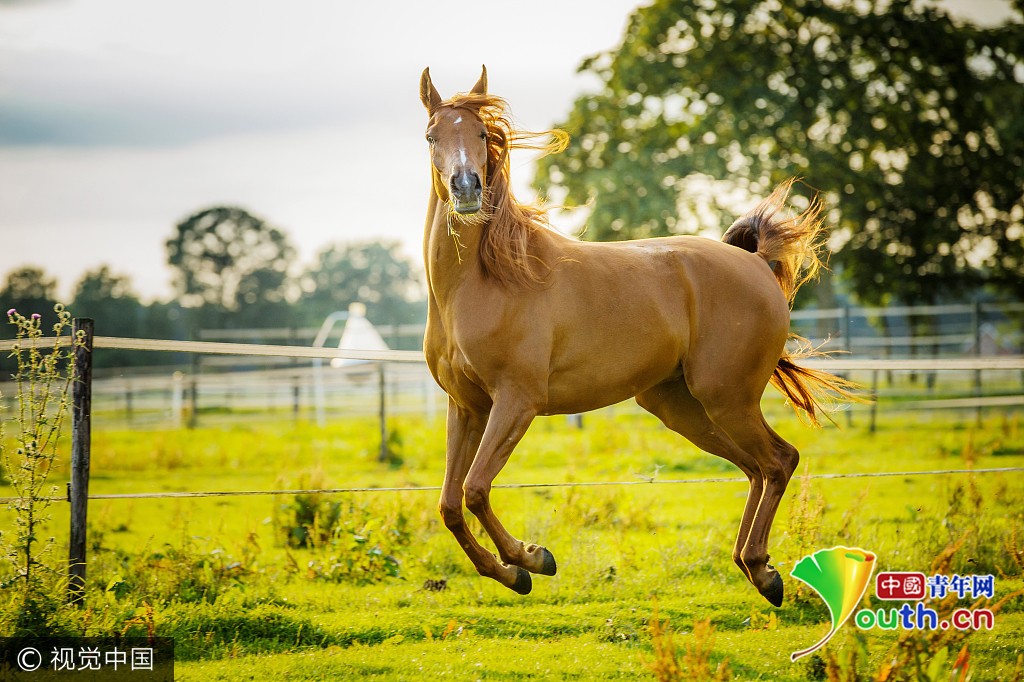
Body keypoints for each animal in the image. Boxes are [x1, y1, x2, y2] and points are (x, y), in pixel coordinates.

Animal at [415, 65, 856, 606]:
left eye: (481, 133)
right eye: (432, 135)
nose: (466, 187)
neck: (482, 282)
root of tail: (753, 262)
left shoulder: (516, 400)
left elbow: (475, 489)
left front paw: (532, 560)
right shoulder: (467, 406)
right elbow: (449, 505)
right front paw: (512, 573)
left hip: (726, 398)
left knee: (778, 460)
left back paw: (762, 571)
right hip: (682, 407)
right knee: (758, 466)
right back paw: (757, 568)